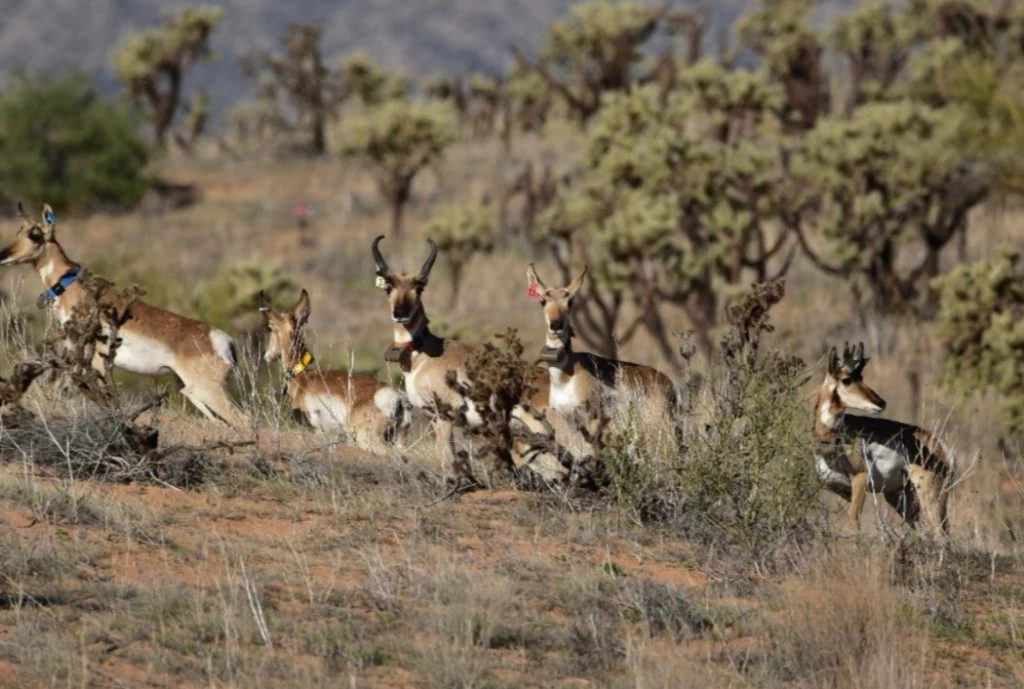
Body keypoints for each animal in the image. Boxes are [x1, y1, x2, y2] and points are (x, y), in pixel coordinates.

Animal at [0, 202, 245, 423]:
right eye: (18, 231)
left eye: (34, 234)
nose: (3, 255)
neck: (73, 286)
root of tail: (223, 339)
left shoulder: (97, 362)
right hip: (190, 391)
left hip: (207, 391)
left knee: (243, 420)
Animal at [258, 286, 409, 450]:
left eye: (270, 328)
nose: (267, 356)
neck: (303, 377)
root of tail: (397, 396)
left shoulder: (317, 432)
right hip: (398, 440)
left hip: (369, 440)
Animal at [528, 264, 679, 436]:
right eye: (543, 301)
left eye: (570, 302)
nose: (556, 325)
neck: (565, 377)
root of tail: (668, 381)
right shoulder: (571, 422)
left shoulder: (592, 419)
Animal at [811, 341, 954, 536]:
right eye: (846, 379)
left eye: (861, 377)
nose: (880, 402)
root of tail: (942, 446)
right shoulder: (843, 490)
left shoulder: (860, 479)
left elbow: (852, 522)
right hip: (899, 498)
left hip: (931, 497)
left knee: (941, 535)